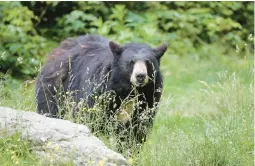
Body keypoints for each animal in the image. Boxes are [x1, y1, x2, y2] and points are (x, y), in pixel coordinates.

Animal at [35, 34, 167, 145]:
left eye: (148, 62)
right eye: (131, 62)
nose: (140, 76)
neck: (128, 91)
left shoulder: (149, 98)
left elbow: (136, 131)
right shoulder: (100, 91)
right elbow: (90, 118)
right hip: (55, 86)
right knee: (49, 108)